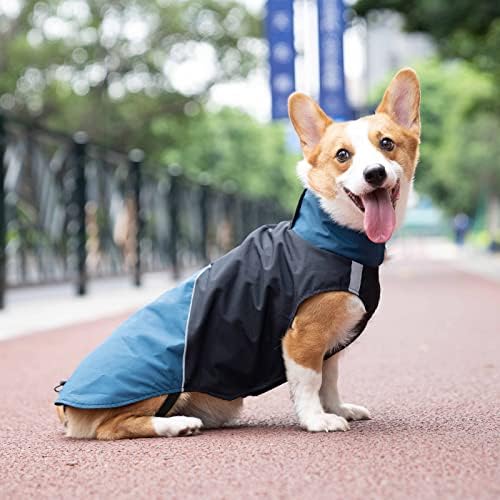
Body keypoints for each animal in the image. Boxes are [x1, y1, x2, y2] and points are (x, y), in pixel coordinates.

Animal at [56, 68, 420, 440]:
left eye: (387, 144)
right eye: (343, 155)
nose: (374, 173)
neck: (332, 238)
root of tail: (67, 405)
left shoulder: (330, 345)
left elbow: (329, 382)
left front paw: (338, 408)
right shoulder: (303, 338)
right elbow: (310, 383)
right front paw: (316, 419)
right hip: (158, 389)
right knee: (113, 426)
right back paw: (175, 424)